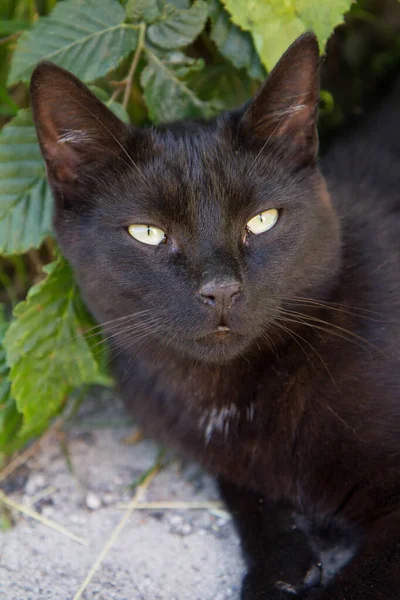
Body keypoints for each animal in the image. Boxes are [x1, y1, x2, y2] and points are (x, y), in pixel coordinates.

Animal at [30, 34, 400, 600]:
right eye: (148, 233)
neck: (224, 394)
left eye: (263, 221)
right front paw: (280, 568)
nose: (221, 289)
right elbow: (246, 489)